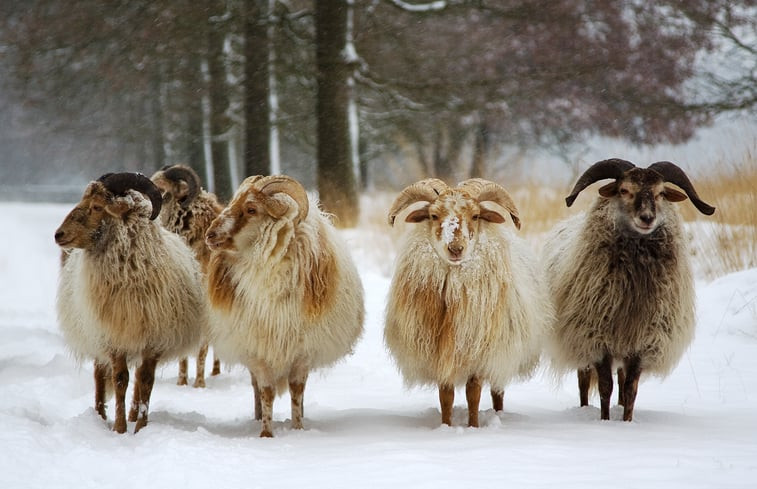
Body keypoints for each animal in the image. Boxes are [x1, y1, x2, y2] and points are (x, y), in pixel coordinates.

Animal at [54, 173, 205, 432]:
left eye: (97, 206)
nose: (59, 234)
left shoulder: (153, 340)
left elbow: (145, 381)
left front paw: (140, 426)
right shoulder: (114, 338)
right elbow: (120, 380)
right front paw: (120, 428)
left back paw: (133, 415)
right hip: (96, 335)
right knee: (99, 375)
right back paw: (99, 416)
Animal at [204, 173, 364, 436]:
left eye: (251, 209)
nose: (210, 234)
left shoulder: (302, 351)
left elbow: (296, 391)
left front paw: (298, 428)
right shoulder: (259, 351)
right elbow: (266, 392)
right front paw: (266, 433)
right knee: (255, 387)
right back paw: (257, 417)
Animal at [384, 177, 548, 426]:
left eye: (476, 215)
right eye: (433, 215)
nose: (455, 249)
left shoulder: (479, 353)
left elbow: (474, 393)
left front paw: (473, 426)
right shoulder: (439, 355)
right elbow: (446, 396)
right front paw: (446, 426)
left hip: (502, 354)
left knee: (497, 390)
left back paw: (498, 414)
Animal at [544, 159, 716, 420]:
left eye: (661, 193)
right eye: (624, 190)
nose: (647, 218)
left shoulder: (642, 343)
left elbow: (631, 388)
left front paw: (626, 421)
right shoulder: (597, 339)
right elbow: (605, 386)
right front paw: (605, 421)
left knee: (622, 379)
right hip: (580, 341)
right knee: (584, 382)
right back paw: (584, 409)